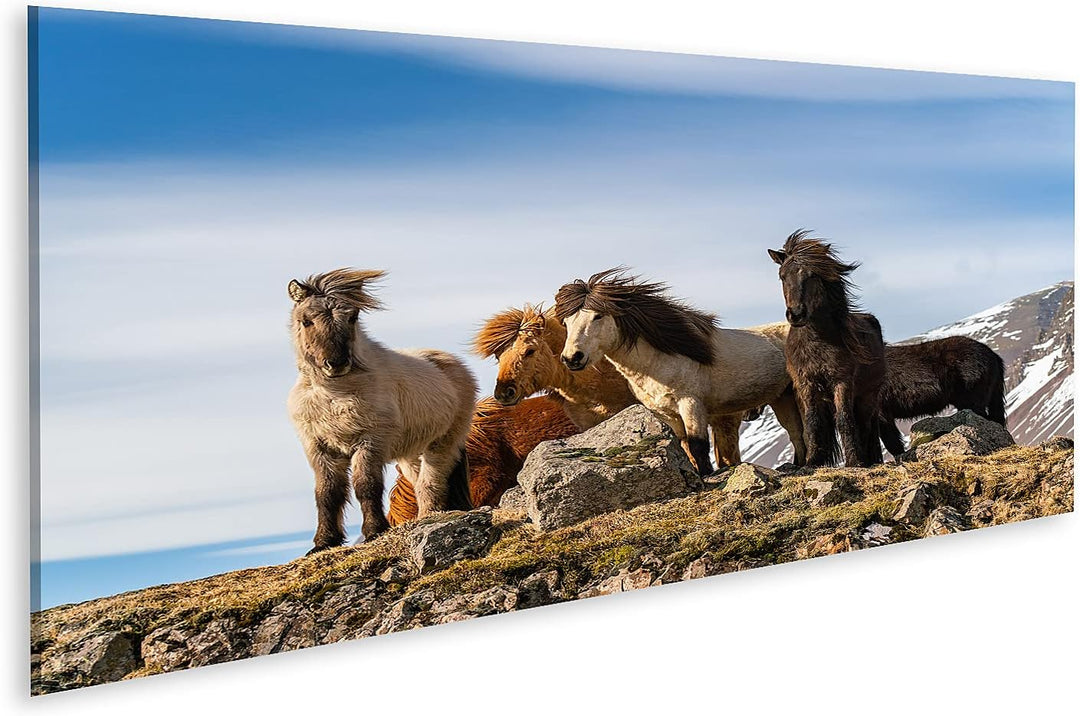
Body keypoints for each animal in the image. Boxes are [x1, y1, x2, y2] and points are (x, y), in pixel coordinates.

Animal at [287, 268, 478, 551]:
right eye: (307, 321)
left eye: (352, 317)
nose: (336, 363)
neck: (336, 395)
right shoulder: (320, 448)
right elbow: (327, 494)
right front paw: (324, 542)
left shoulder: (370, 442)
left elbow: (366, 486)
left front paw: (375, 531)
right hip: (410, 453)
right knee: (419, 481)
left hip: (442, 443)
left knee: (431, 482)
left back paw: (428, 518)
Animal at [554, 270, 806, 475]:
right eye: (566, 322)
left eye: (597, 316)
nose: (572, 358)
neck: (660, 361)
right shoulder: (668, 414)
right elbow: (685, 446)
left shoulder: (691, 403)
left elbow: (698, 444)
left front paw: (706, 475)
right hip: (783, 398)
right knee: (796, 432)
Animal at [768, 230, 886, 467]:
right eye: (782, 276)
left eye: (812, 275)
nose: (796, 314)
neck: (818, 341)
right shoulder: (806, 384)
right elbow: (813, 423)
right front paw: (813, 461)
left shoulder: (842, 382)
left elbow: (844, 420)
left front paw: (854, 461)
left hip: (867, 395)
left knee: (864, 425)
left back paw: (866, 458)